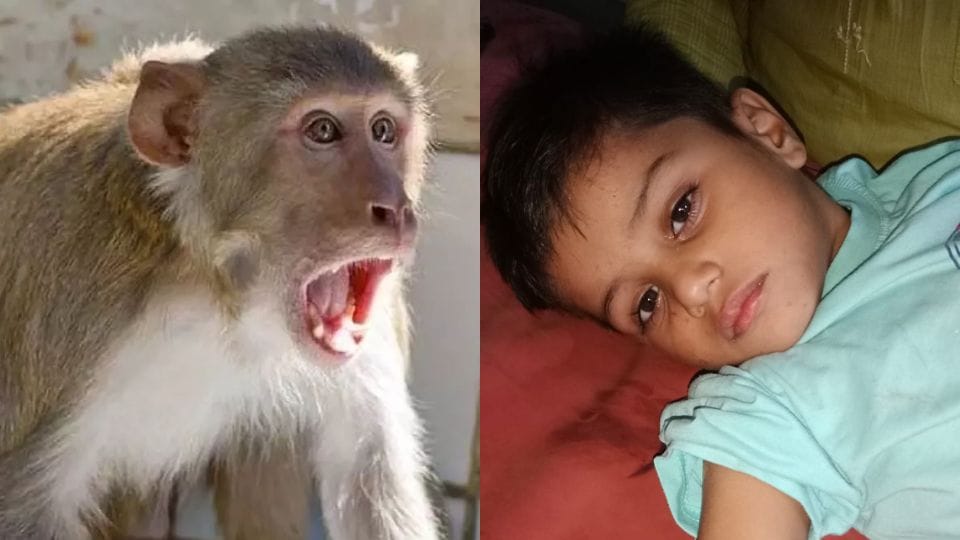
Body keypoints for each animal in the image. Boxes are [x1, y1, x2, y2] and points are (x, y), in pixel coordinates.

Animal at [0, 26, 440, 540]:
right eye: (323, 131)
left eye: (383, 130)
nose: (396, 207)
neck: (225, 295)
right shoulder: (73, 303)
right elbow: (28, 502)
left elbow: (369, 475)